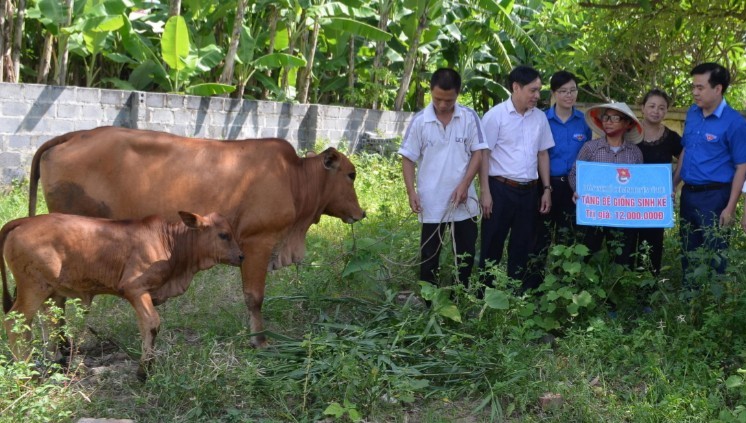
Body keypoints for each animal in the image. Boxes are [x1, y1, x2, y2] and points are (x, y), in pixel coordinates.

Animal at [1, 212, 243, 380]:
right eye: (223, 235)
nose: (242, 256)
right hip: (33, 288)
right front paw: (144, 371)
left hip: (51, 292)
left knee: (48, 322)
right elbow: (152, 323)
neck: (170, 243)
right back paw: (26, 371)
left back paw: (56, 362)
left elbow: (145, 326)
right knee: (16, 321)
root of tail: (23, 221)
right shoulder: (135, 288)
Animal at [27, 127, 364, 350]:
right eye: (351, 174)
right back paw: (64, 348)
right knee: (58, 300)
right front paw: (260, 342)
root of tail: (74, 134)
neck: (294, 178)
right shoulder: (258, 243)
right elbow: (254, 298)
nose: (360, 213)